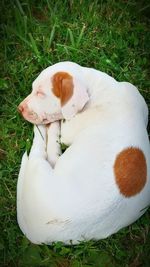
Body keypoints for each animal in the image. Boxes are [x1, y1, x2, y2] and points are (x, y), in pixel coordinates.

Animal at [17, 62, 149, 245]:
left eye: (41, 93)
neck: (99, 89)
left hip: (39, 166)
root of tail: (33, 232)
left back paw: (47, 128)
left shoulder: (68, 130)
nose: (19, 108)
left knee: (43, 148)